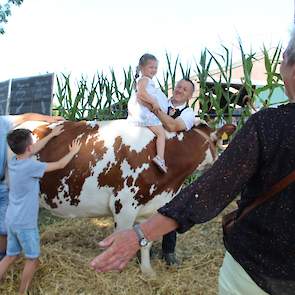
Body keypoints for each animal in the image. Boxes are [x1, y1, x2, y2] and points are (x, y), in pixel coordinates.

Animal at [14, 119, 236, 276]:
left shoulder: (150, 206)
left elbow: (145, 243)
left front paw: (147, 271)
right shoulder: (124, 205)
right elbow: (119, 240)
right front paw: (115, 270)